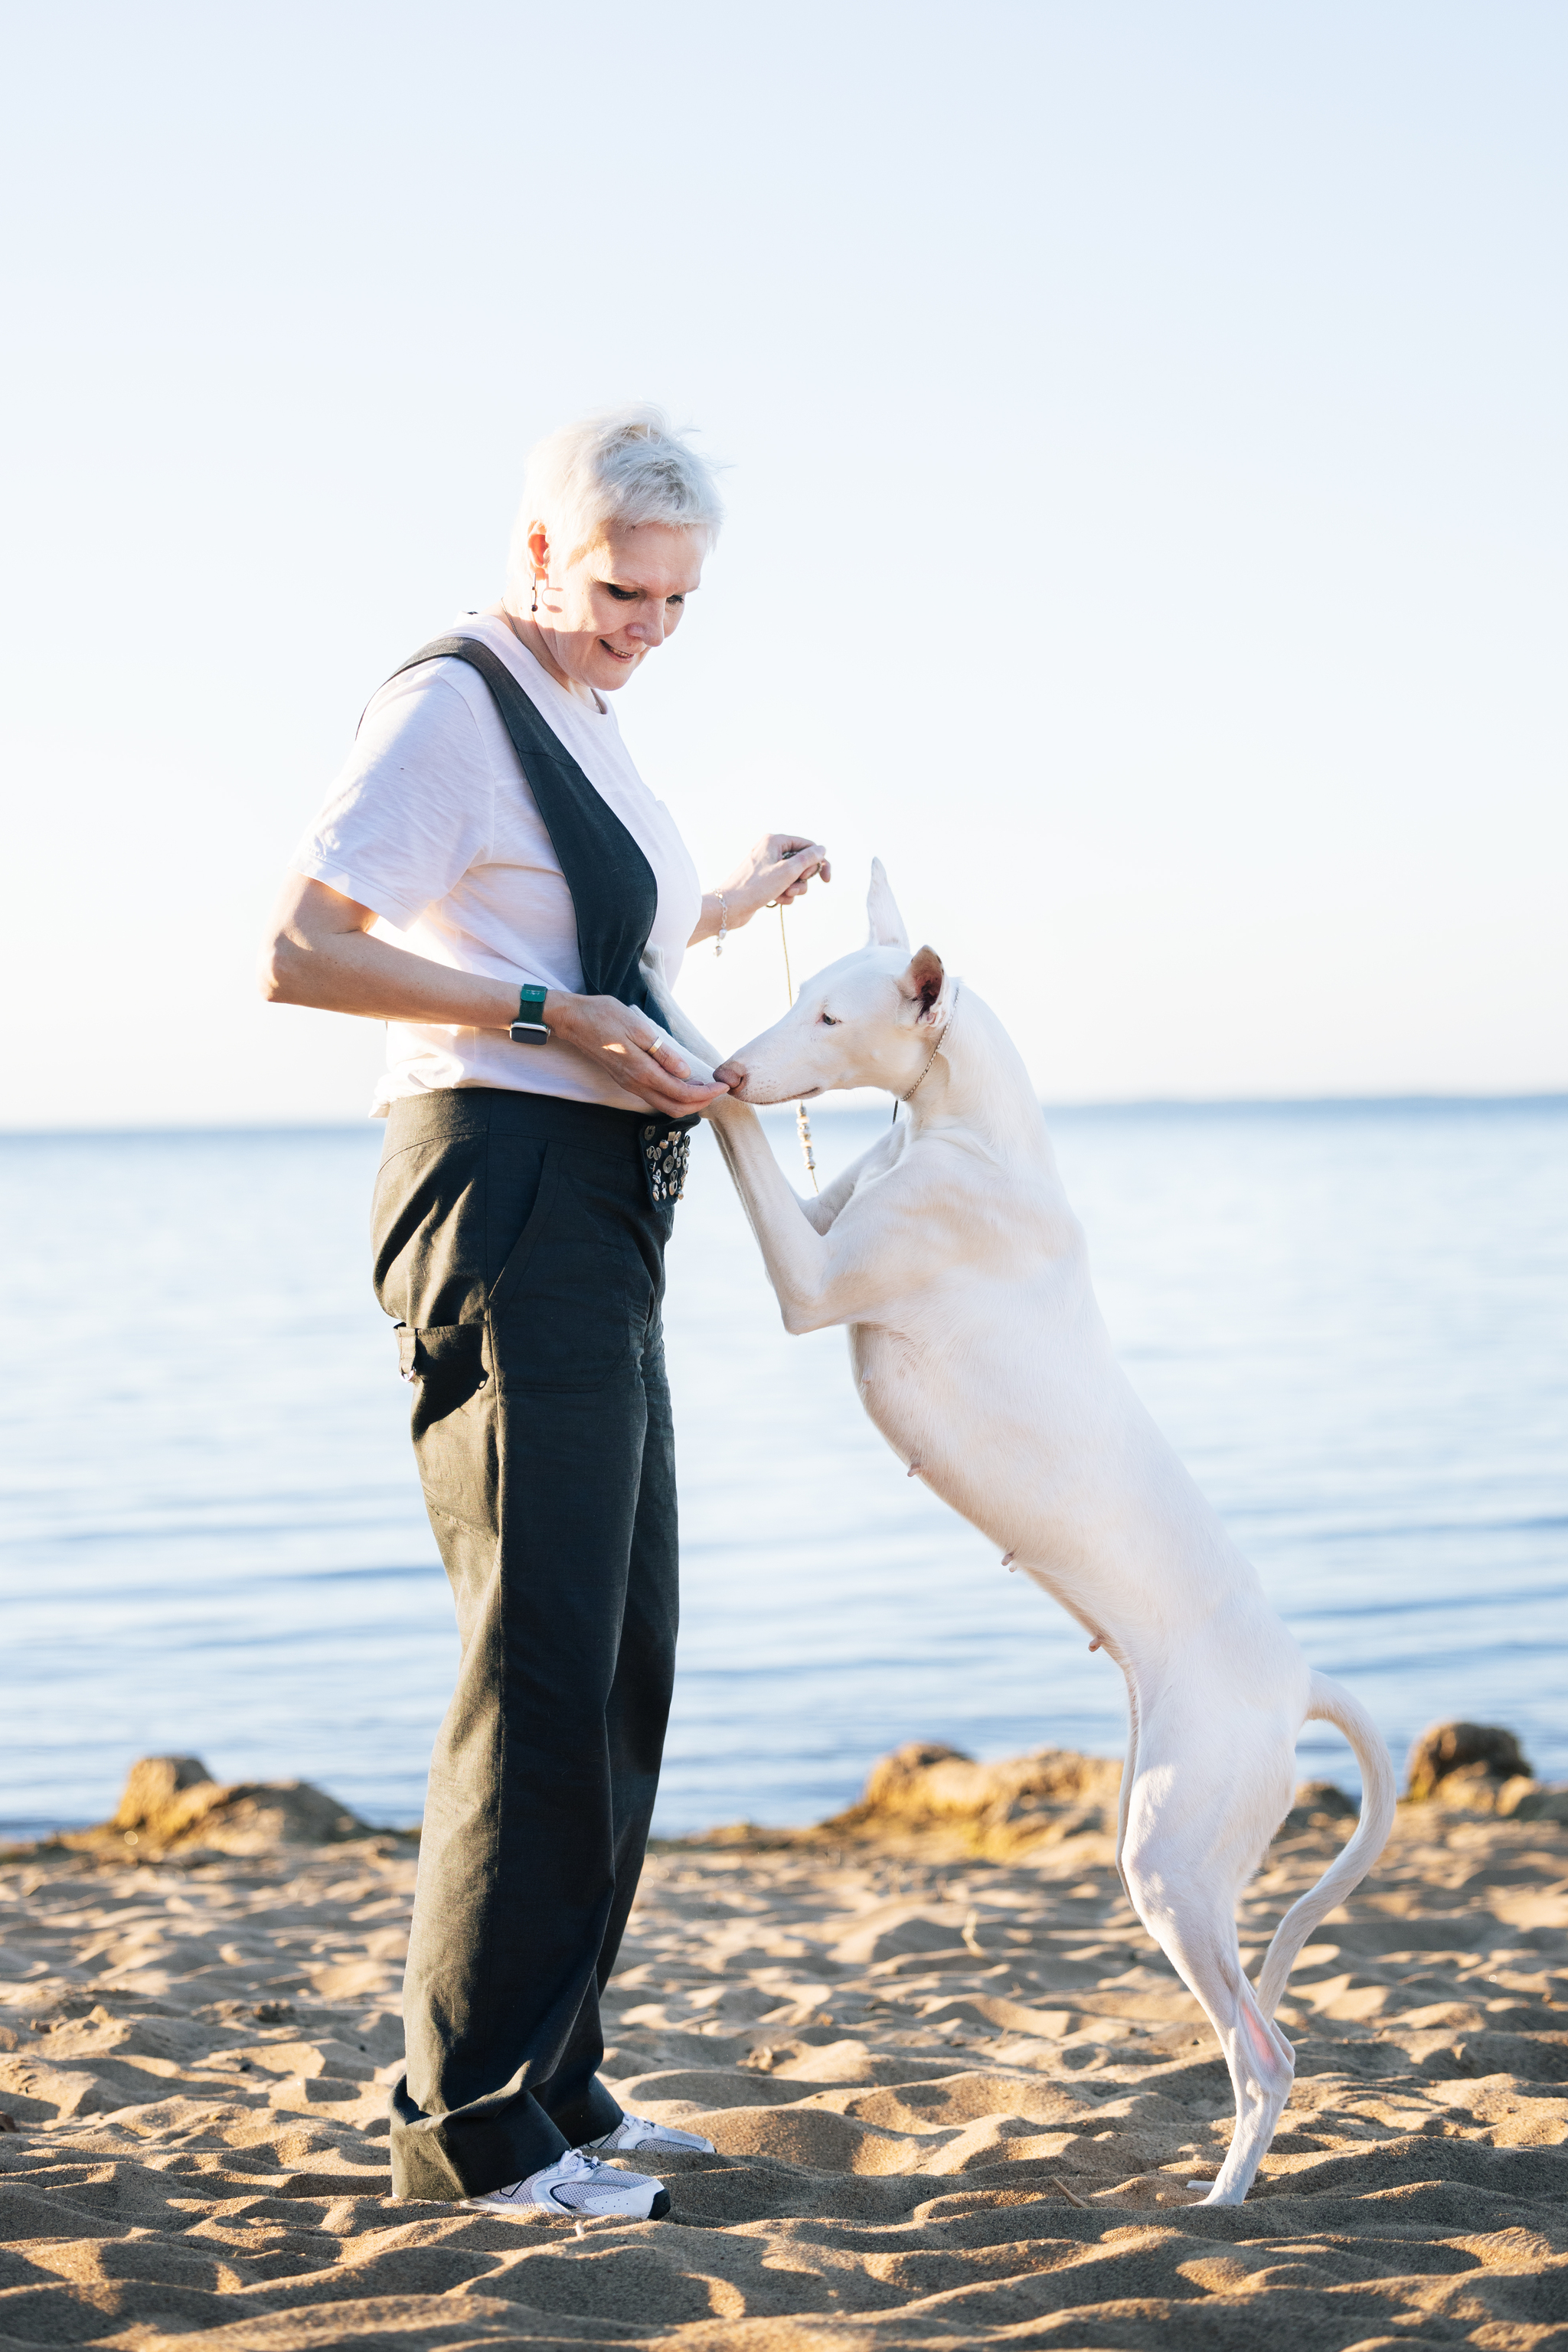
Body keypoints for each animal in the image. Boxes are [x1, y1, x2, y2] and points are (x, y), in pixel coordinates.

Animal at [662, 861, 1400, 2201]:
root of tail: (1297, 1677)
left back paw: (1220, 2203)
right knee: (1266, 2037)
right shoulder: (827, 1208)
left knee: (1264, 2053)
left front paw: (671, 1028)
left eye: (830, 1018)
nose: (743, 1066)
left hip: (1172, 1863)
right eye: (804, 996)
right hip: (1166, 1834)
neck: (969, 1131)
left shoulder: (812, 1277)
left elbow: (745, 1154)